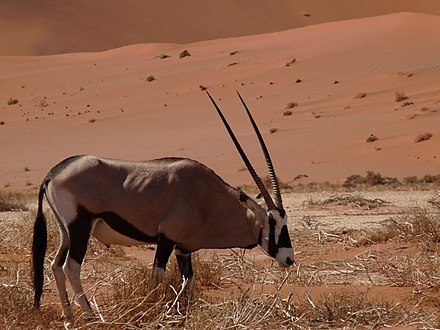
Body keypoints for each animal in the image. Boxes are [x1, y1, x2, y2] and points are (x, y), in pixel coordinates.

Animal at [32, 91, 294, 320]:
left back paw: (68, 315)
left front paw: (184, 312)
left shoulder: (183, 248)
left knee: (56, 265)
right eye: (271, 222)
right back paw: (89, 316)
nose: (289, 259)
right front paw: (155, 311)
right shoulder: (166, 239)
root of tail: (53, 173)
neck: (206, 197)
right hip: (81, 227)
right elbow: (158, 276)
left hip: (66, 231)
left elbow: (189, 280)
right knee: (71, 267)